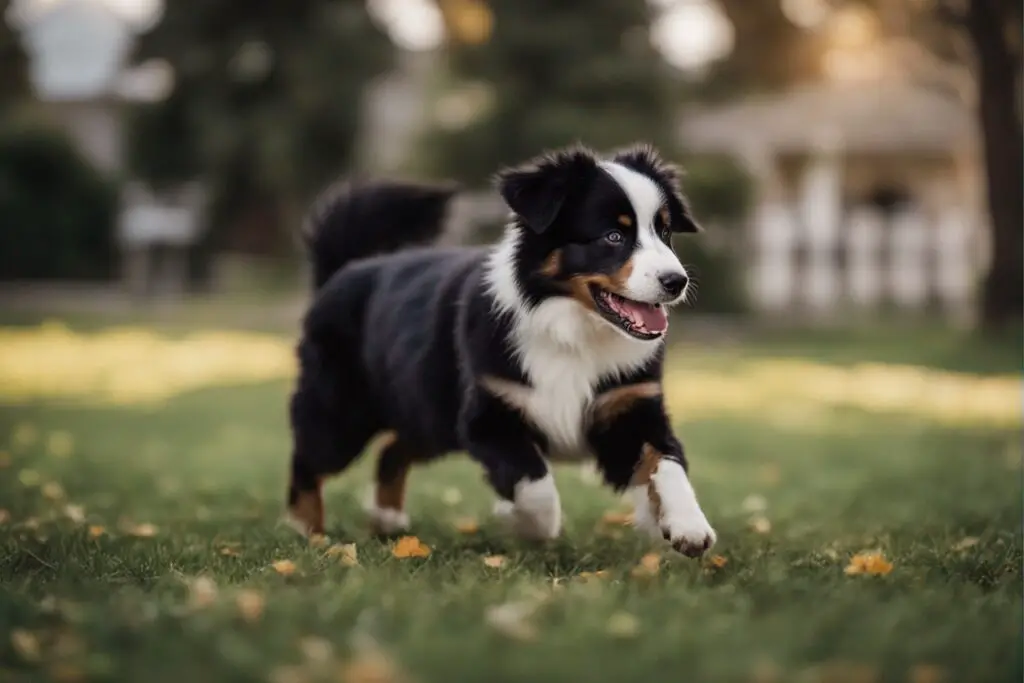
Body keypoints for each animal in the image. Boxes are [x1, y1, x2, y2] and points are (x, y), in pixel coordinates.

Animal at [288, 143, 716, 557]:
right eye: (613, 236)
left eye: (665, 231)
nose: (676, 281)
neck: (571, 330)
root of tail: (345, 270)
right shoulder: (489, 415)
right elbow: (536, 486)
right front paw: (527, 526)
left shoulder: (630, 409)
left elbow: (668, 464)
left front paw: (689, 528)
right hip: (343, 414)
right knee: (309, 459)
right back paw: (307, 533)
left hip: (427, 412)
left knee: (393, 450)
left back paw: (387, 521)